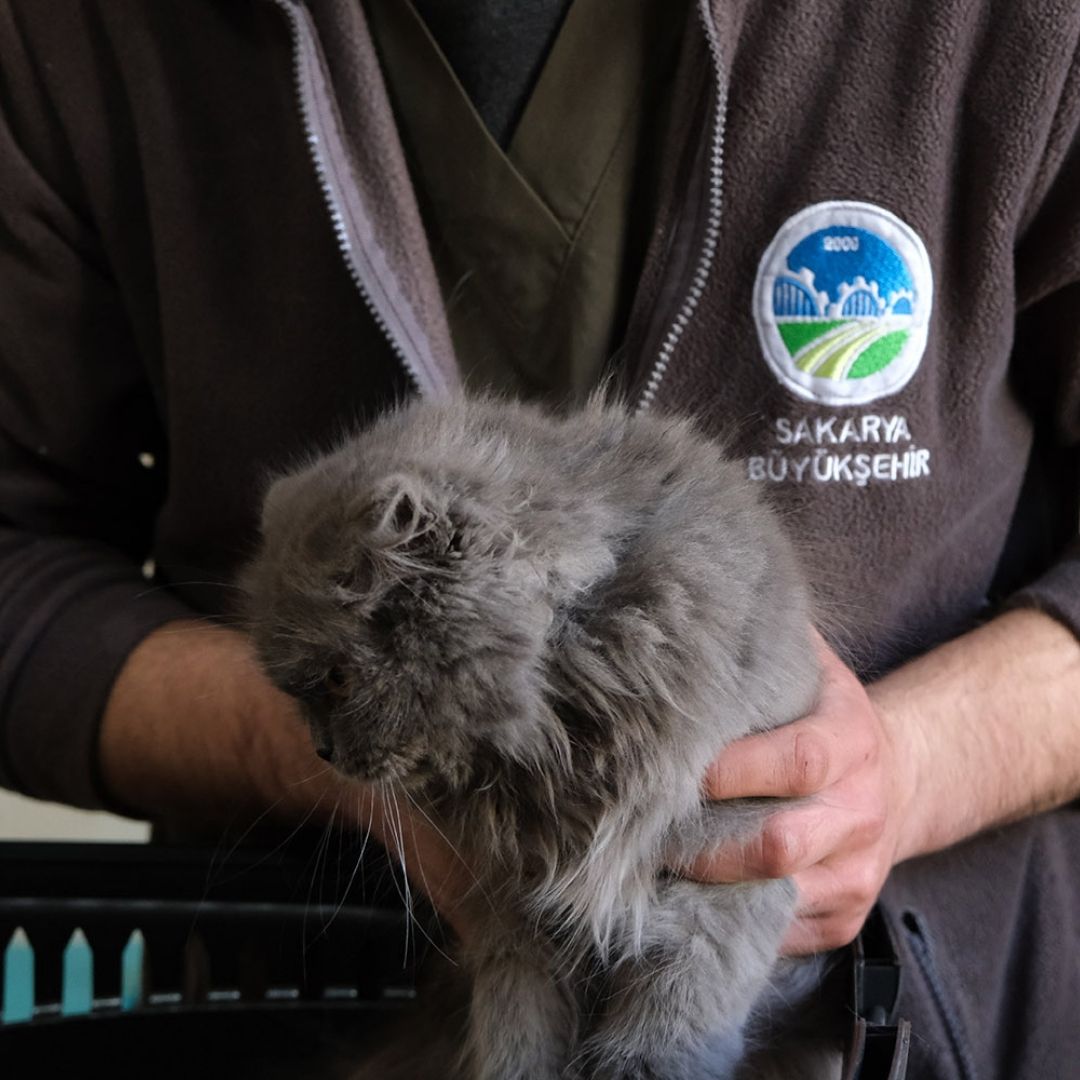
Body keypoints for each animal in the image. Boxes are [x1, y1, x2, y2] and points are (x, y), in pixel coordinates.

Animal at [240, 399, 833, 1080]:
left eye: (337, 681)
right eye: (298, 696)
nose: (321, 749)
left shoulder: (724, 880)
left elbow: (669, 1027)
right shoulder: (511, 915)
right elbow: (518, 1032)